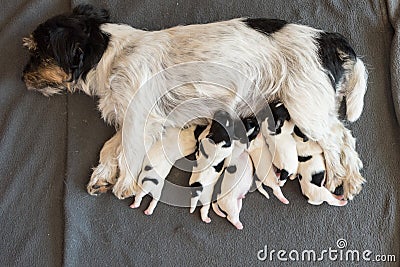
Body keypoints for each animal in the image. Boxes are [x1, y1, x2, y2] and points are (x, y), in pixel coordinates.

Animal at [21, 4, 366, 201]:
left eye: (38, 53)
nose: (22, 75)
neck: (110, 54)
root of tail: (326, 40)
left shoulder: (138, 115)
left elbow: (127, 149)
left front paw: (125, 184)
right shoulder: (139, 116)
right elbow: (110, 147)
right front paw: (103, 175)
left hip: (304, 104)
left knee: (341, 138)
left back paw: (344, 178)